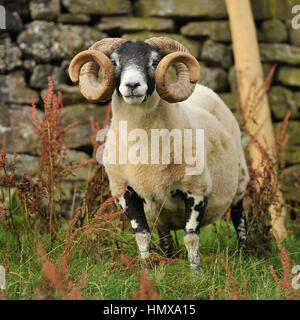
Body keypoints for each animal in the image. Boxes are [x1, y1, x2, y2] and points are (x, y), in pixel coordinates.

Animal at [69, 37, 250, 272]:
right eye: (114, 62)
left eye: (155, 62)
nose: (132, 86)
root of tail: (204, 89)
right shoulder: (125, 192)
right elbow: (142, 235)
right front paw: (147, 269)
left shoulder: (197, 189)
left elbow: (191, 236)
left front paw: (196, 273)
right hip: (159, 210)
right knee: (163, 232)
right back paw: (167, 258)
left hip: (240, 183)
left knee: (240, 220)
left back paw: (244, 256)